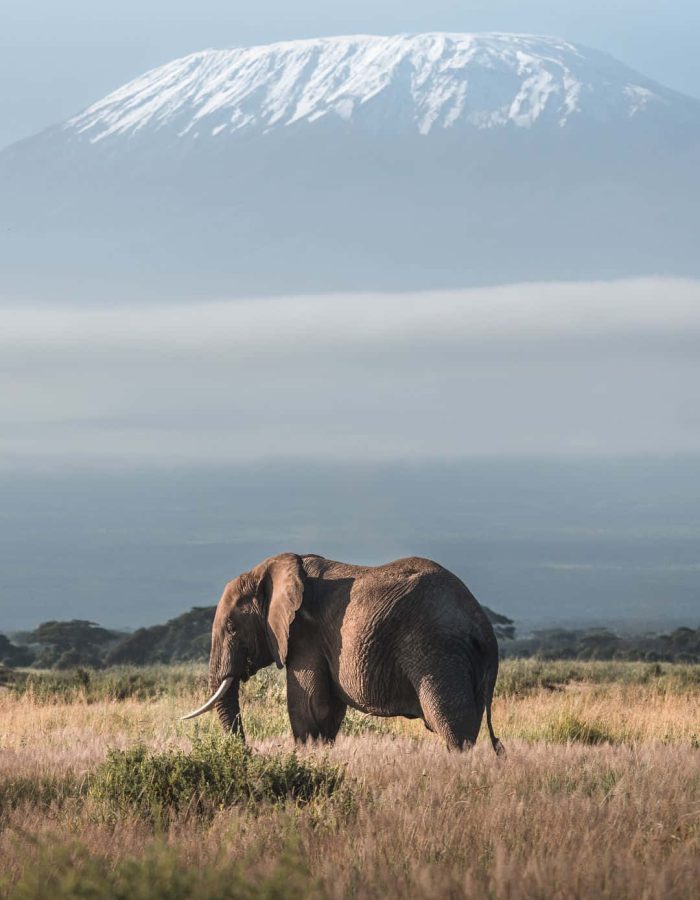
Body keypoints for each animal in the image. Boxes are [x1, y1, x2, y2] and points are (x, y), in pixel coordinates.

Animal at [182, 553, 503, 752]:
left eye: (232, 628)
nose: (248, 752)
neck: (268, 569)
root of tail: (482, 625)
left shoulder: (305, 635)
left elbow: (310, 706)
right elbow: (328, 710)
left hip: (437, 653)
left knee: (451, 724)